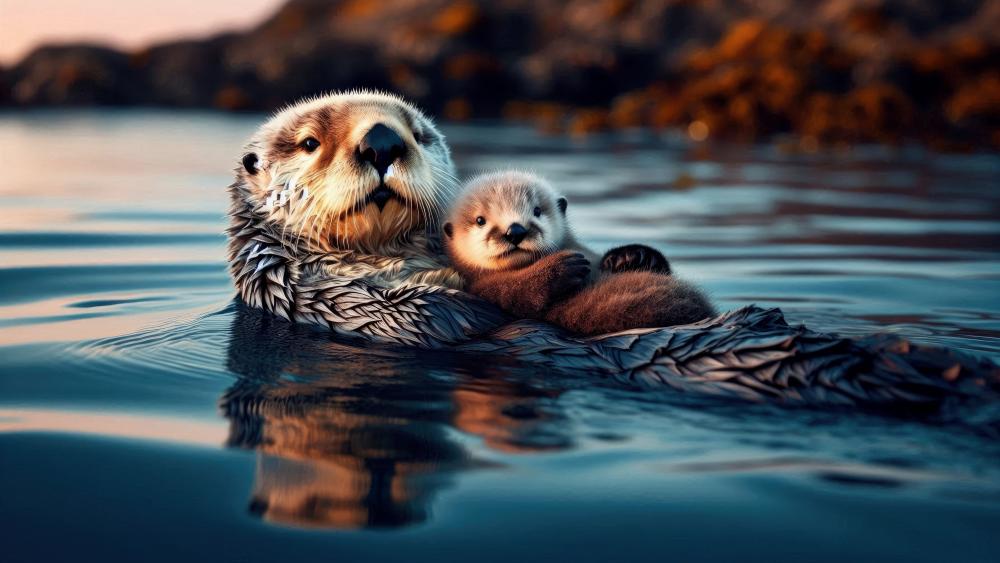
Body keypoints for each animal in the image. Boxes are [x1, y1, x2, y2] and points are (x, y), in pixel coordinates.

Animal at [442, 172, 716, 334]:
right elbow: (516, 293)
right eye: (480, 220)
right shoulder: (482, 288)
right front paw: (562, 267)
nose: (515, 231)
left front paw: (632, 256)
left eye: (537, 210)